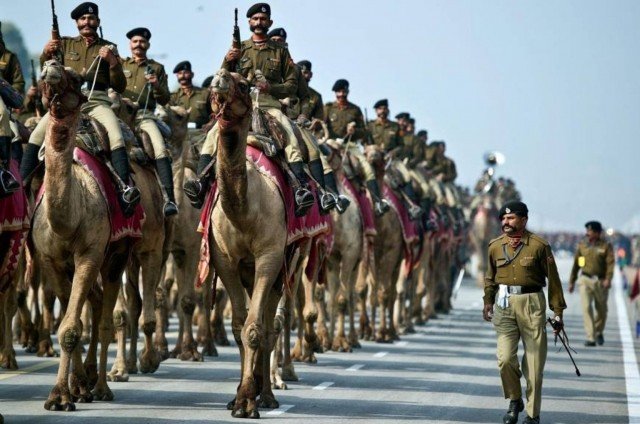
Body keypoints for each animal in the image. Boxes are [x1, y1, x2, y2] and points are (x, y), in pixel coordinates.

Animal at [32, 61, 134, 410]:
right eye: (47, 68)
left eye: (76, 78)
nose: (50, 67)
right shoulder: (50, 260)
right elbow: (69, 322)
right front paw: (71, 389)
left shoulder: (89, 252)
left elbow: (72, 328)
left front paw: (60, 395)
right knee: (97, 302)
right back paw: (87, 381)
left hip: (116, 255)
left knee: (105, 319)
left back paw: (102, 385)